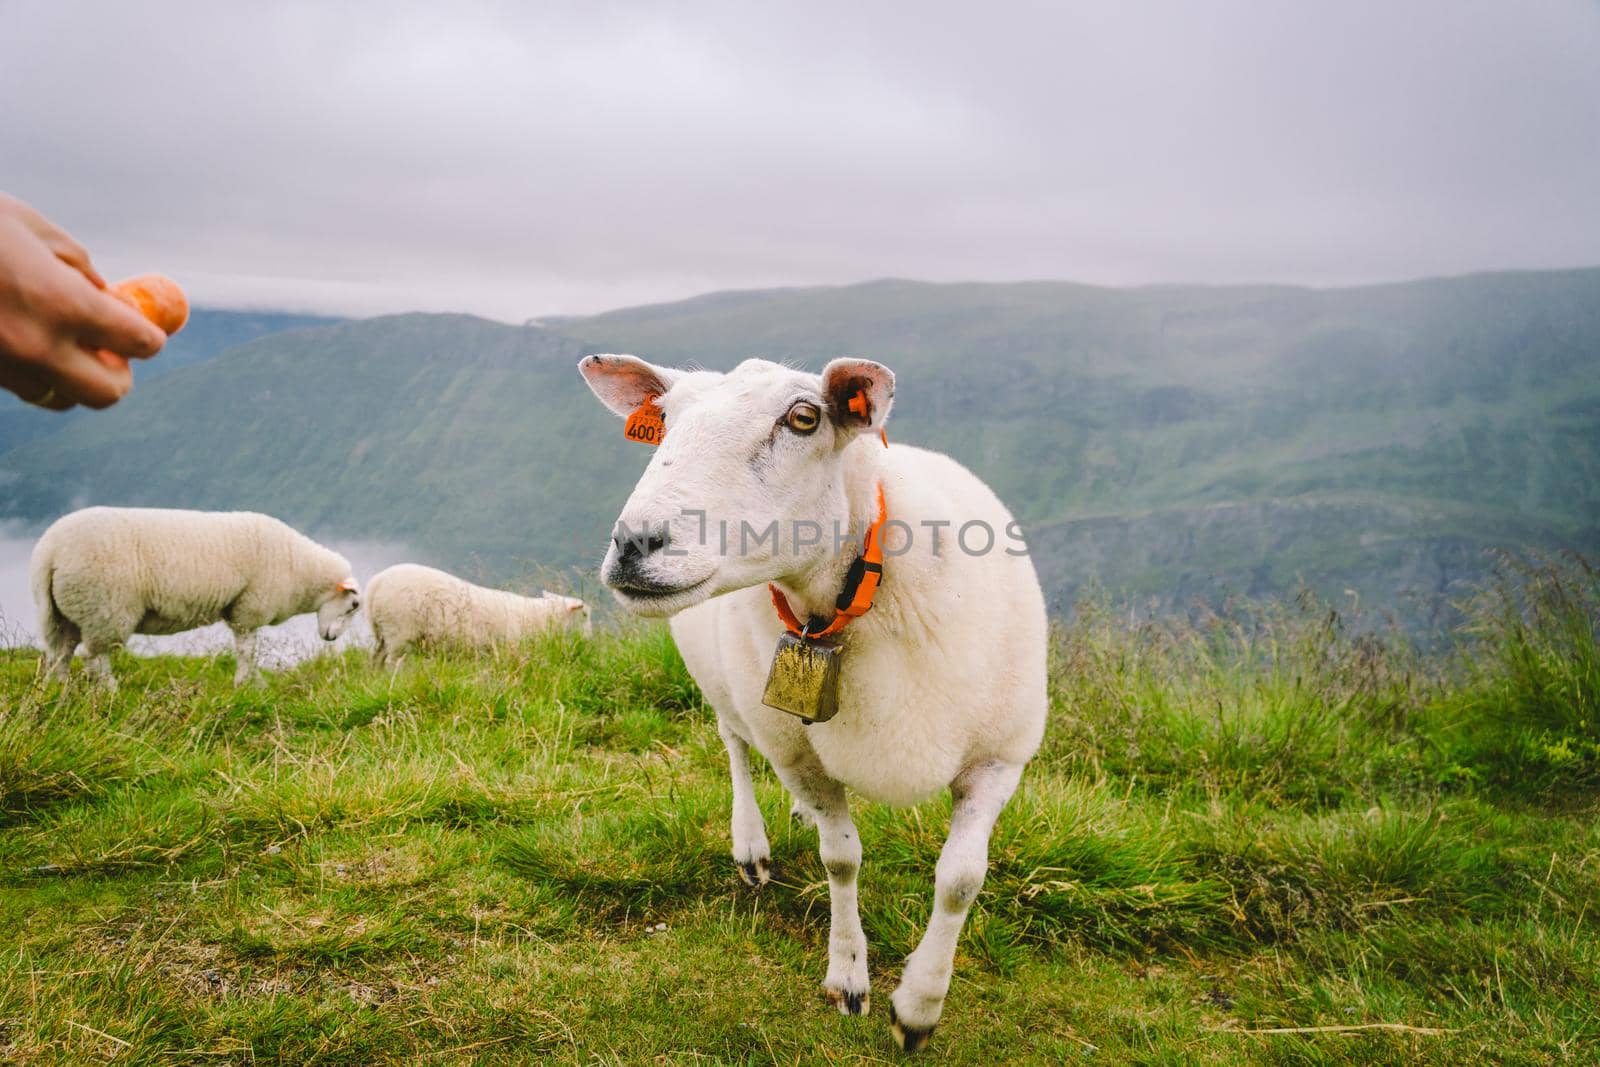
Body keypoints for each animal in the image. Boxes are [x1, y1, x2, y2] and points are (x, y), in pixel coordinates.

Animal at [29, 508, 360, 694]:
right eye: (354, 606)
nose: (331, 639)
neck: (300, 568)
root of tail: (50, 550)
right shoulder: (248, 609)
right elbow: (248, 651)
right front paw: (245, 684)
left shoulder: (241, 610)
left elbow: (248, 651)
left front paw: (253, 683)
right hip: (105, 607)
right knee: (94, 656)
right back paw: (110, 690)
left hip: (63, 612)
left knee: (60, 653)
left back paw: (59, 690)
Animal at [368, 563, 595, 662]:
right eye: (585, 615)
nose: (589, 640)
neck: (540, 618)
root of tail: (375, 584)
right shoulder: (510, 648)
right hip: (399, 631)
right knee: (392, 662)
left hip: (382, 633)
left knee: (376, 659)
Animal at [579, 351, 1049, 1049]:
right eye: (663, 420)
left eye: (804, 418)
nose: (635, 544)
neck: (849, 595)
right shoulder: (799, 755)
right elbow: (842, 860)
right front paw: (849, 976)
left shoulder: (998, 758)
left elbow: (961, 881)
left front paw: (920, 1007)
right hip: (724, 687)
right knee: (735, 746)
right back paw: (751, 845)